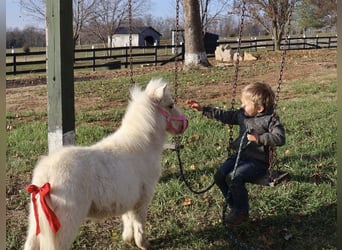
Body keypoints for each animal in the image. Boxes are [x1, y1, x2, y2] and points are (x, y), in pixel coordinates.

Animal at [24, 77, 188, 249]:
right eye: (170, 105)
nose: (185, 123)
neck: (142, 146)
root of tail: (45, 177)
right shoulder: (143, 199)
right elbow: (139, 223)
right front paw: (143, 244)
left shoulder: (128, 198)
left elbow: (127, 219)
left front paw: (128, 239)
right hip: (64, 226)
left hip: (36, 225)